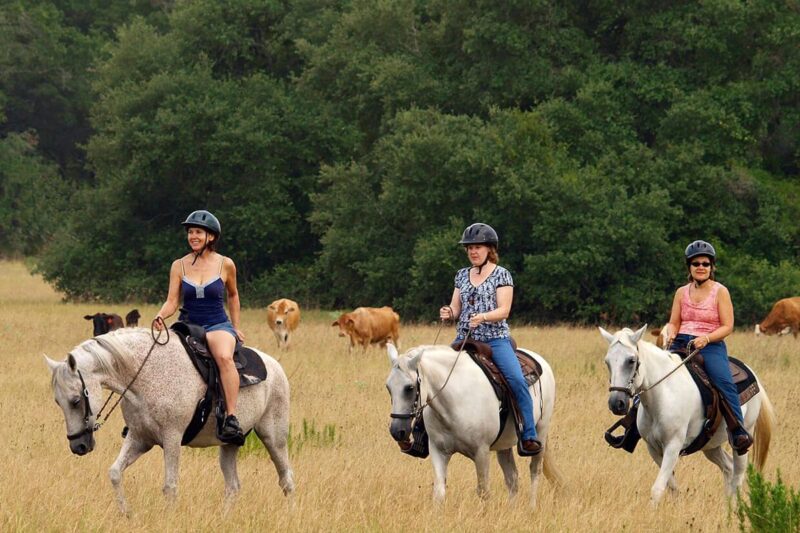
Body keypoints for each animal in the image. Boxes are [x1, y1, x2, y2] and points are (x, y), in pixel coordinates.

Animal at [44, 326, 294, 512]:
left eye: (76, 400)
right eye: (57, 402)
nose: (78, 446)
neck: (144, 376)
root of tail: (275, 366)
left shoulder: (172, 438)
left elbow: (170, 486)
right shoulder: (140, 438)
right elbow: (115, 473)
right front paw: (126, 513)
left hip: (274, 438)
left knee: (286, 480)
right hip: (230, 444)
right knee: (233, 486)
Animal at [386, 342, 564, 504]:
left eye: (409, 388)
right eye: (388, 387)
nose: (397, 431)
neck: (454, 401)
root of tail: (540, 360)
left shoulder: (481, 452)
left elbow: (484, 491)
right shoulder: (438, 450)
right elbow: (439, 492)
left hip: (541, 432)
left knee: (535, 470)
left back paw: (531, 507)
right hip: (504, 445)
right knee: (512, 478)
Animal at [600, 324, 776, 502]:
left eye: (631, 361)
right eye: (607, 362)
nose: (616, 403)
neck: (663, 395)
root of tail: (751, 373)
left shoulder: (673, 446)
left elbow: (657, 488)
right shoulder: (653, 448)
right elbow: (671, 485)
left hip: (743, 437)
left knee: (738, 475)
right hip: (710, 445)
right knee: (728, 468)